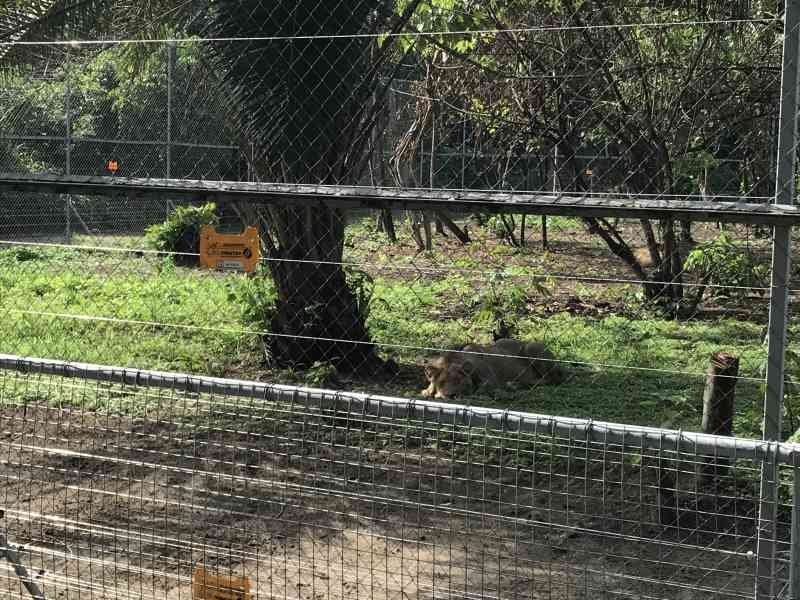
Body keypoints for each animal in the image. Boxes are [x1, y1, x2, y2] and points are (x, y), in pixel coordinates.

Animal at [421, 338, 565, 399]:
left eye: (459, 381)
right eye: (442, 382)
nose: (451, 395)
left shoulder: (490, 380)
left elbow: (481, 389)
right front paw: (428, 391)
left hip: (531, 347)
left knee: (551, 380)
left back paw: (514, 385)